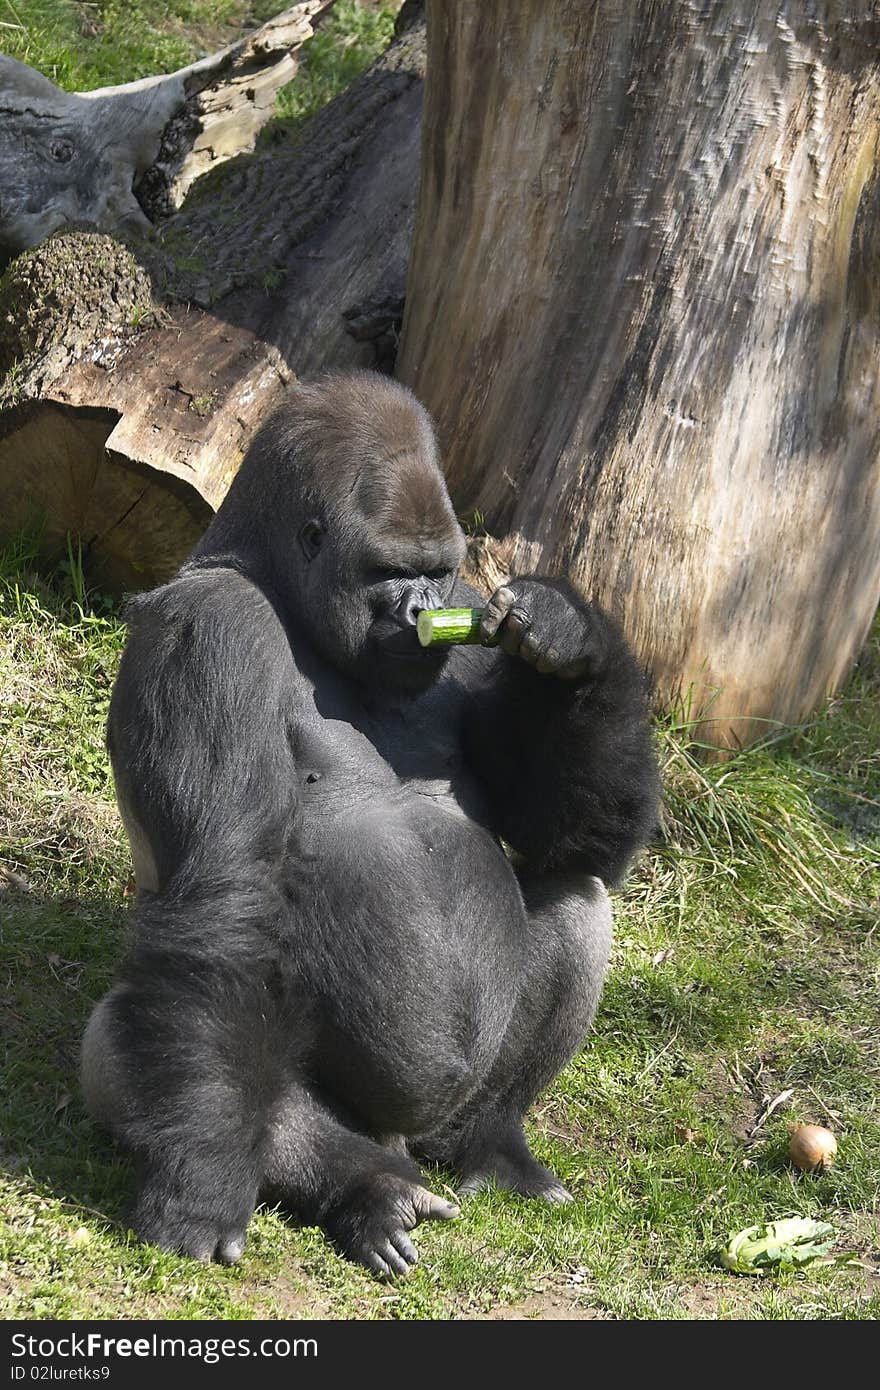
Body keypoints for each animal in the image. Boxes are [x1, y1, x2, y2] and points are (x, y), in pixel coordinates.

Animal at [82, 366, 658, 1273]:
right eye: (387, 570)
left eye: (439, 570)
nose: (420, 609)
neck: (270, 578)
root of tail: (406, 1139)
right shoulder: (207, 634)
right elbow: (227, 898)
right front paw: (201, 1191)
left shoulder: (474, 621)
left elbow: (565, 831)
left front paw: (572, 641)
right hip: (336, 1109)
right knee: (135, 1042)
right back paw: (363, 1188)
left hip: (448, 1117)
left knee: (576, 887)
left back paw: (491, 1145)